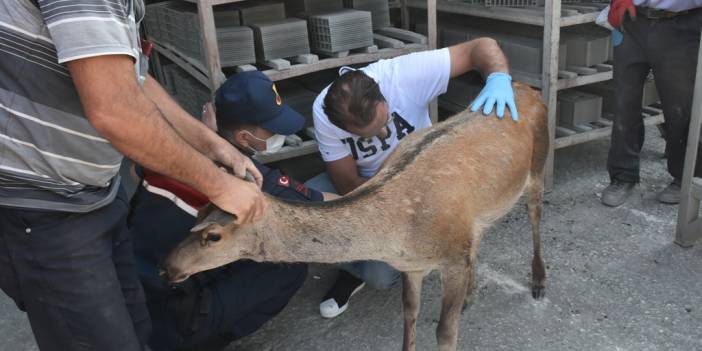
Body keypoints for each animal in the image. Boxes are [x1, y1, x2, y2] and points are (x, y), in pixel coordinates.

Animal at [164, 83, 552, 351]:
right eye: (198, 210)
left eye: (213, 235)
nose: (168, 268)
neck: (399, 235)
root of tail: (528, 89)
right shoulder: (413, 265)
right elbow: (409, 313)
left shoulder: (450, 256)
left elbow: (444, 331)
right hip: (480, 214)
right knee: (481, 234)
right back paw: (470, 295)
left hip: (537, 164)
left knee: (535, 212)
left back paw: (537, 281)